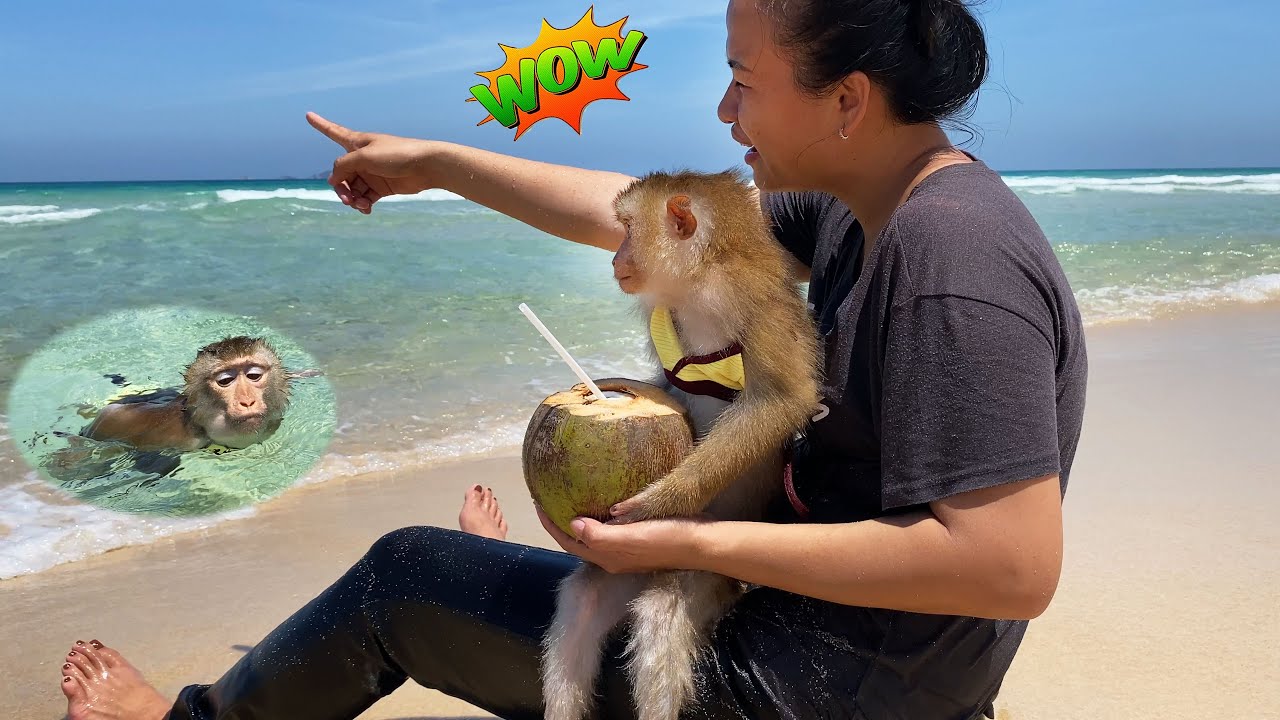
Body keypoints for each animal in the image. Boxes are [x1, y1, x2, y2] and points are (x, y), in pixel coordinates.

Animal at [539, 169, 823, 720]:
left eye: (628, 229)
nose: (614, 258)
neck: (698, 280)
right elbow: (664, 389)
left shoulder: (748, 297)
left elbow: (782, 400)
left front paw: (661, 501)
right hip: (625, 571)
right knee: (585, 598)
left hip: (707, 574)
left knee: (662, 615)